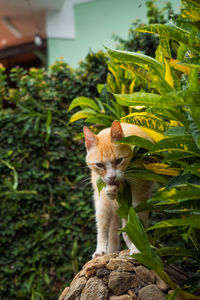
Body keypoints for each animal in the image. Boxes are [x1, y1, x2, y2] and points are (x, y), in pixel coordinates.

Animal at [83, 119, 154, 258]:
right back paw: (101, 251)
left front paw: (138, 248)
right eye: (100, 165)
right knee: (104, 227)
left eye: (119, 160)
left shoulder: (141, 191)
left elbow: (139, 221)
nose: (112, 177)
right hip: (102, 204)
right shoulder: (103, 195)